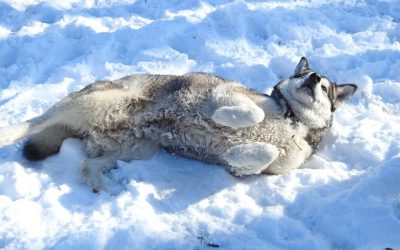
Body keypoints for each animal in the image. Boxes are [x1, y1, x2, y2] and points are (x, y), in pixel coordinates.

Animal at [0, 57, 356, 191]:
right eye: (305, 75)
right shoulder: (224, 93)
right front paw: (227, 120)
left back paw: (104, 187)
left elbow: (258, 156)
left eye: (325, 87)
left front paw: (239, 151)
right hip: (94, 103)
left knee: (89, 165)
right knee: (35, 122)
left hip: (140, 148)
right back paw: (8, 131)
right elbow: (249, 113)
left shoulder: (266, 168)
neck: (292, 118)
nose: (313, 77)